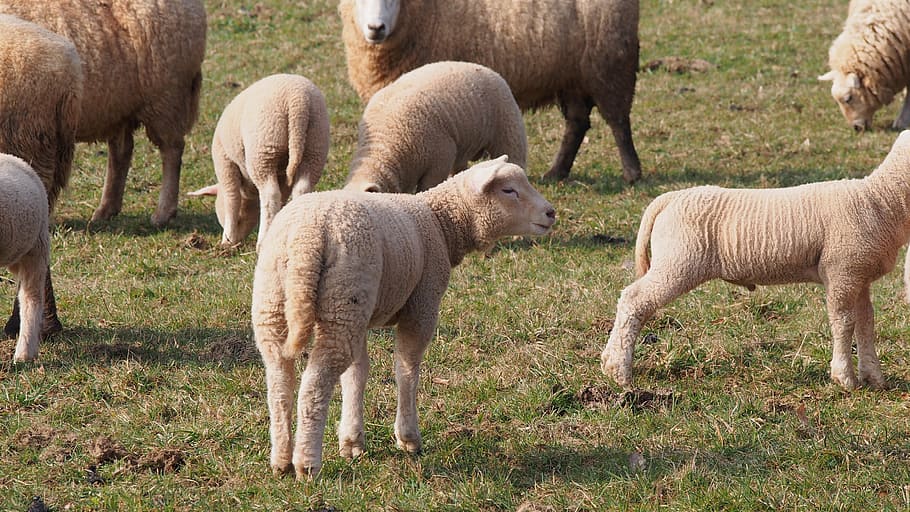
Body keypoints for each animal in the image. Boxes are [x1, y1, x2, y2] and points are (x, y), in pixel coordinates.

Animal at [0, 0, 207, 227]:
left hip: (166, 97)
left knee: (171, 150)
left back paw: (162, 213)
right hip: (118, 108)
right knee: (122, 152)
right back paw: (106, 210)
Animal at [187, 74, 330, 249]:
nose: (237, 241)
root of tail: (298, 102)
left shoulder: (224, 161)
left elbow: (231, 199)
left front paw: (227, 240)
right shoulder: (282, 175)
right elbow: (282, 198)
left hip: (264, 149)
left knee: (270, 194)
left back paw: (261, 242)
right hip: (315, 146)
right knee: (302, 189)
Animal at [252, 156, 556, 478]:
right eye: (509, 190)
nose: (551, 212)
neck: (441, 221)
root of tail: (304, 239)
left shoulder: (364, 315)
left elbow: (357, 374)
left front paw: (351, 440)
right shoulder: (421, 306)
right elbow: (407, 369)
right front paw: (408, 438)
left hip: (287, 304)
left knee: (279, 381)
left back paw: (281, 459)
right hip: (343, 297)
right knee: (313, 385)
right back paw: (307, 463)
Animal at [600, 130, 910, 391]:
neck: (881, 199)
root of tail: (670, 198)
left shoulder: (859, 276)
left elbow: (866, 323)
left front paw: (874, 377)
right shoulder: (841, 272)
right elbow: (844, 322)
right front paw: (844, 377)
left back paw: (608, 362)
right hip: (677, 263)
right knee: (633, 300)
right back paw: (618, 369)